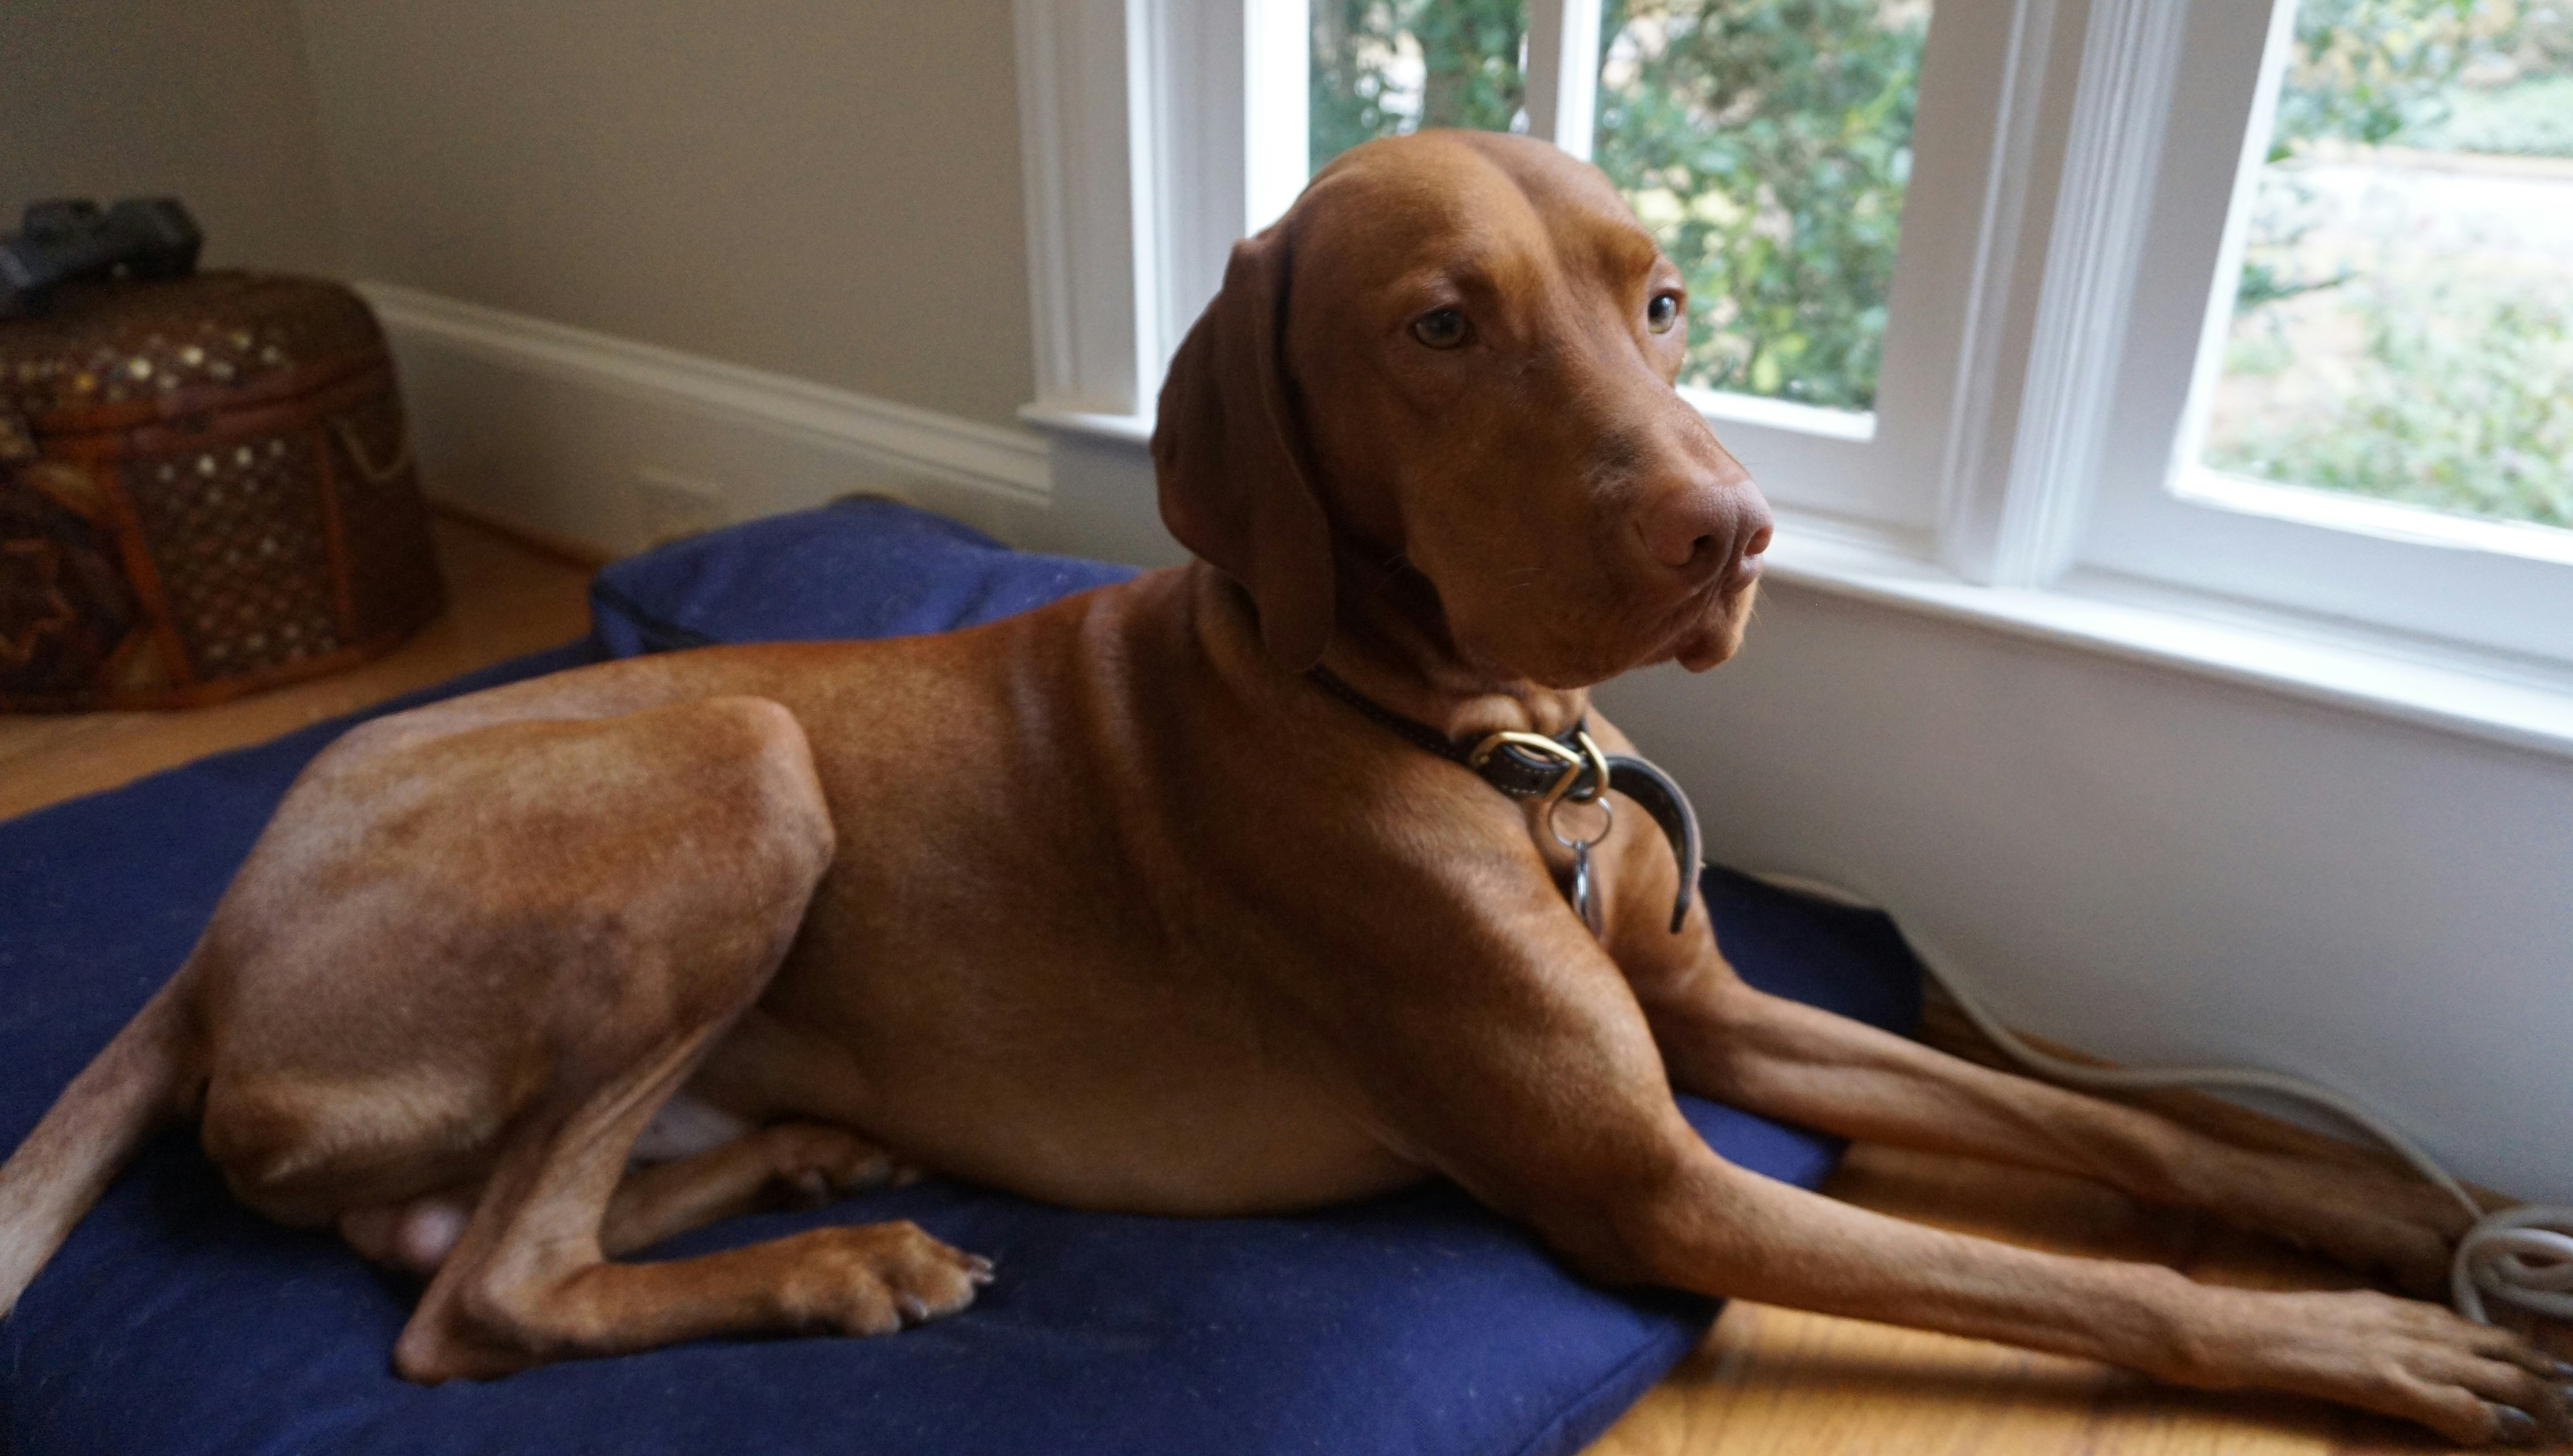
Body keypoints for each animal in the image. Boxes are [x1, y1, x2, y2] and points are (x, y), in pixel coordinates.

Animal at [1, 130, 2564, 1446]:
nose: (1730, 533)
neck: (1495, 746)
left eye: (1655, 299)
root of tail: (217, 931)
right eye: (1439, 325)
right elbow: (2080, 1282)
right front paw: (2370, 1345)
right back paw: (829, 1260)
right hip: (738, 757)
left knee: (457, 1228)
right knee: (480, 1297)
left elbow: (2118, 1135)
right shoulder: (1653, 1182)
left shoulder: (1719, 1023)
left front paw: (2367, 1196)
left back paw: (807, 1159)